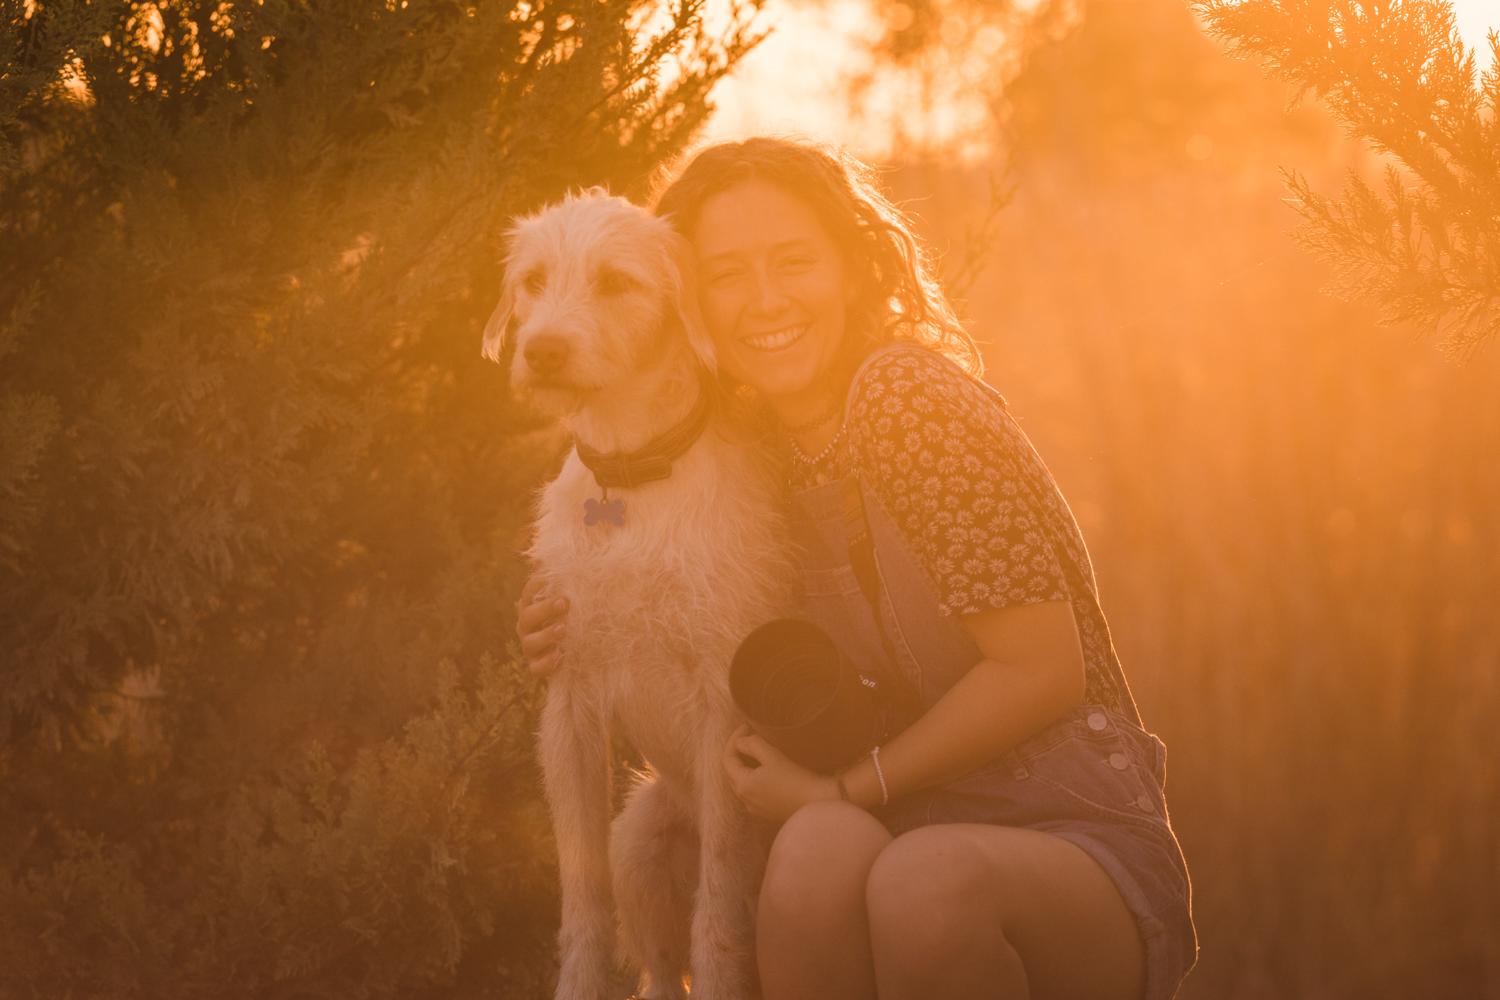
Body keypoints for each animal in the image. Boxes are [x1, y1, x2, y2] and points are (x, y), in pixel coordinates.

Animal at [486, 189, 804, 1000]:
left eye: (616, 282)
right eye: (533, 280)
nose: (543, 351)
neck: (630, 482)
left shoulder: (725, 712)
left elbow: (719, 910)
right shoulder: (568, 711)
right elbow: (582, 901)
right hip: (637, 843)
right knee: (660, 972)